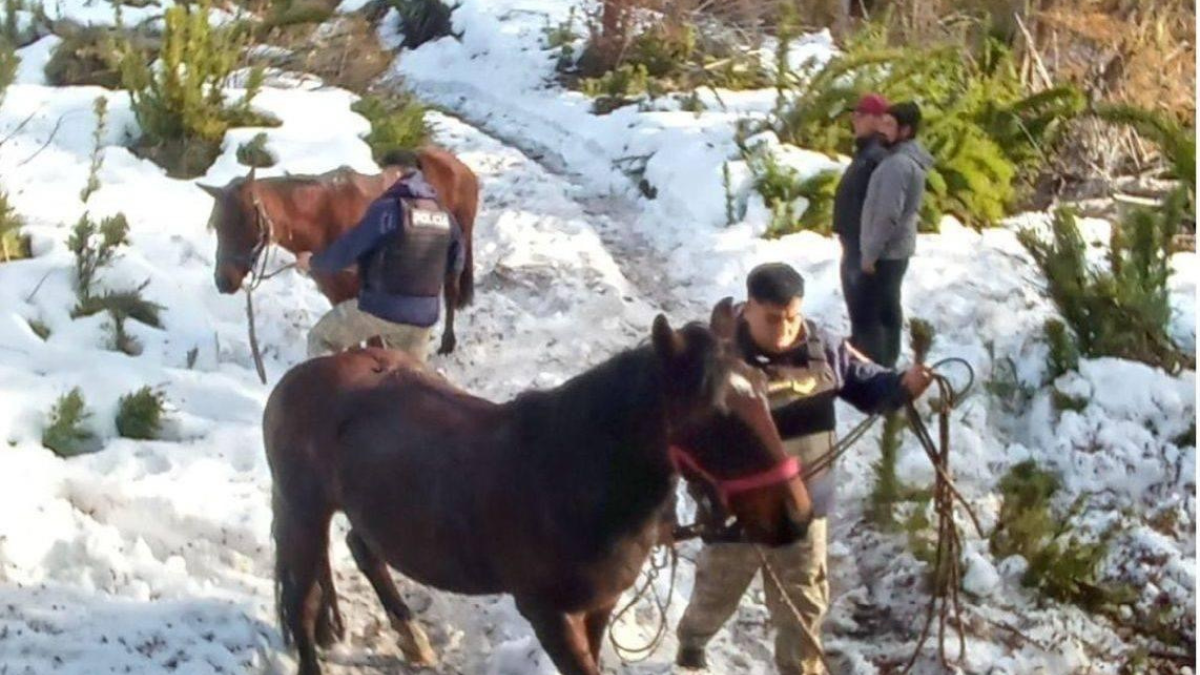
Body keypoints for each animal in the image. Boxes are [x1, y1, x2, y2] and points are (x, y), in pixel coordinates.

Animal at [200, 146, 479, 355]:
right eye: (217, 226)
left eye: (247, 221)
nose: (223, 281)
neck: (324, 219)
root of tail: (459, 165)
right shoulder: (337, 296)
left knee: (451, 294)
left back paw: (447, 343)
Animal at [263, 302, 814, 675]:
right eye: (712, 417)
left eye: (763, 395)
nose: (796, 516)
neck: (571, 481)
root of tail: (302, 376)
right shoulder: (549, 616)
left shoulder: (599, 607)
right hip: (303, 511)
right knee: (302, 599)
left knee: (362, 547)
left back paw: (412, 636)